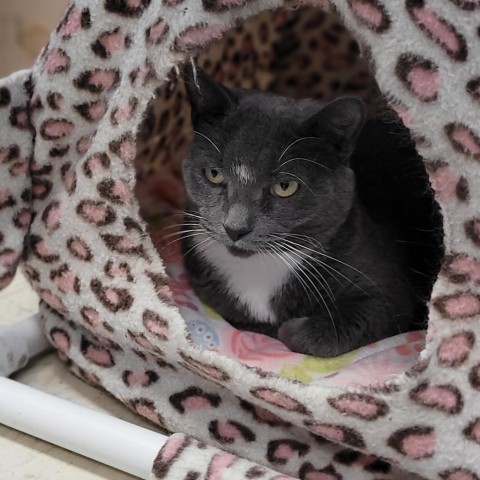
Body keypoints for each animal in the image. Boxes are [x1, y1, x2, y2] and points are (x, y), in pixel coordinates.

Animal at [179, 65, 442, 358]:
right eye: (214, 174)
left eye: (285, 186)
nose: (235, 227)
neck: (261, 269)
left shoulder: (387, 291)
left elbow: (339, 325)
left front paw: (291, 329)